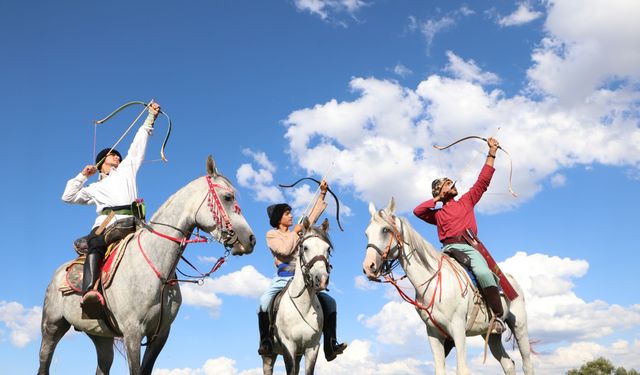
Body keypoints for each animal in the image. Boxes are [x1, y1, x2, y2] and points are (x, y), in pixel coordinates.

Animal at [37, 156, 255, 375]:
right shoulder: (132, 332)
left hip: (101, 336)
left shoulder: (160, 335)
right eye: (228, 197)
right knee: (44, 362)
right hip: (52, 327)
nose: (250, 239)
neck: (157, 270)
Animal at [262, 219, 332, 374]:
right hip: (269, 354)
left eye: (328, 249)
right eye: (305, 247)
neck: (303, 305)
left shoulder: (312, 347)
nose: (321, 280)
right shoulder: (289, 346)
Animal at [360, 198, 536, 374]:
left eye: (385, 230)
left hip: (520, 326)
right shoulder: (434, 333)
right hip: (491, 334)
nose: (369, 267)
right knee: (508, 364)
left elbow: (462, 369)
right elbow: (439, 369)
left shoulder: (458, 330)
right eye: (366, 233)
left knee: (527, 364)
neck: (433, 282)